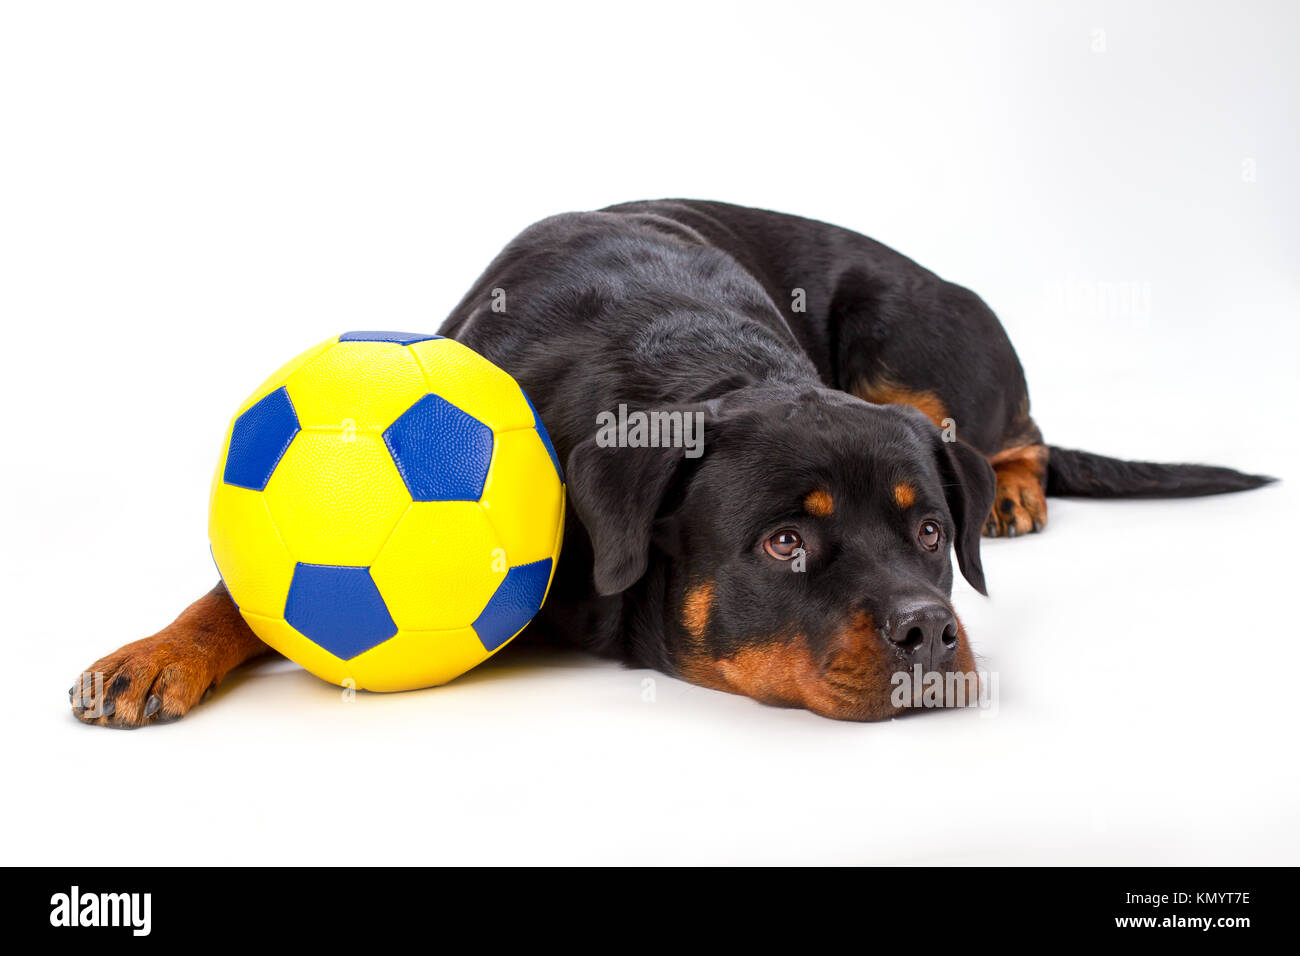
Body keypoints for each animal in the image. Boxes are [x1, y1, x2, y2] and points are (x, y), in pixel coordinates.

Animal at [71, 201, 1268, 723]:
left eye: (929, 531)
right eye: (784, 542)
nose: (931, 628)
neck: (690, 374)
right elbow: (239, 592)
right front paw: (157, 652)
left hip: (914, 333)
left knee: (1016, 429)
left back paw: (1014, 488)